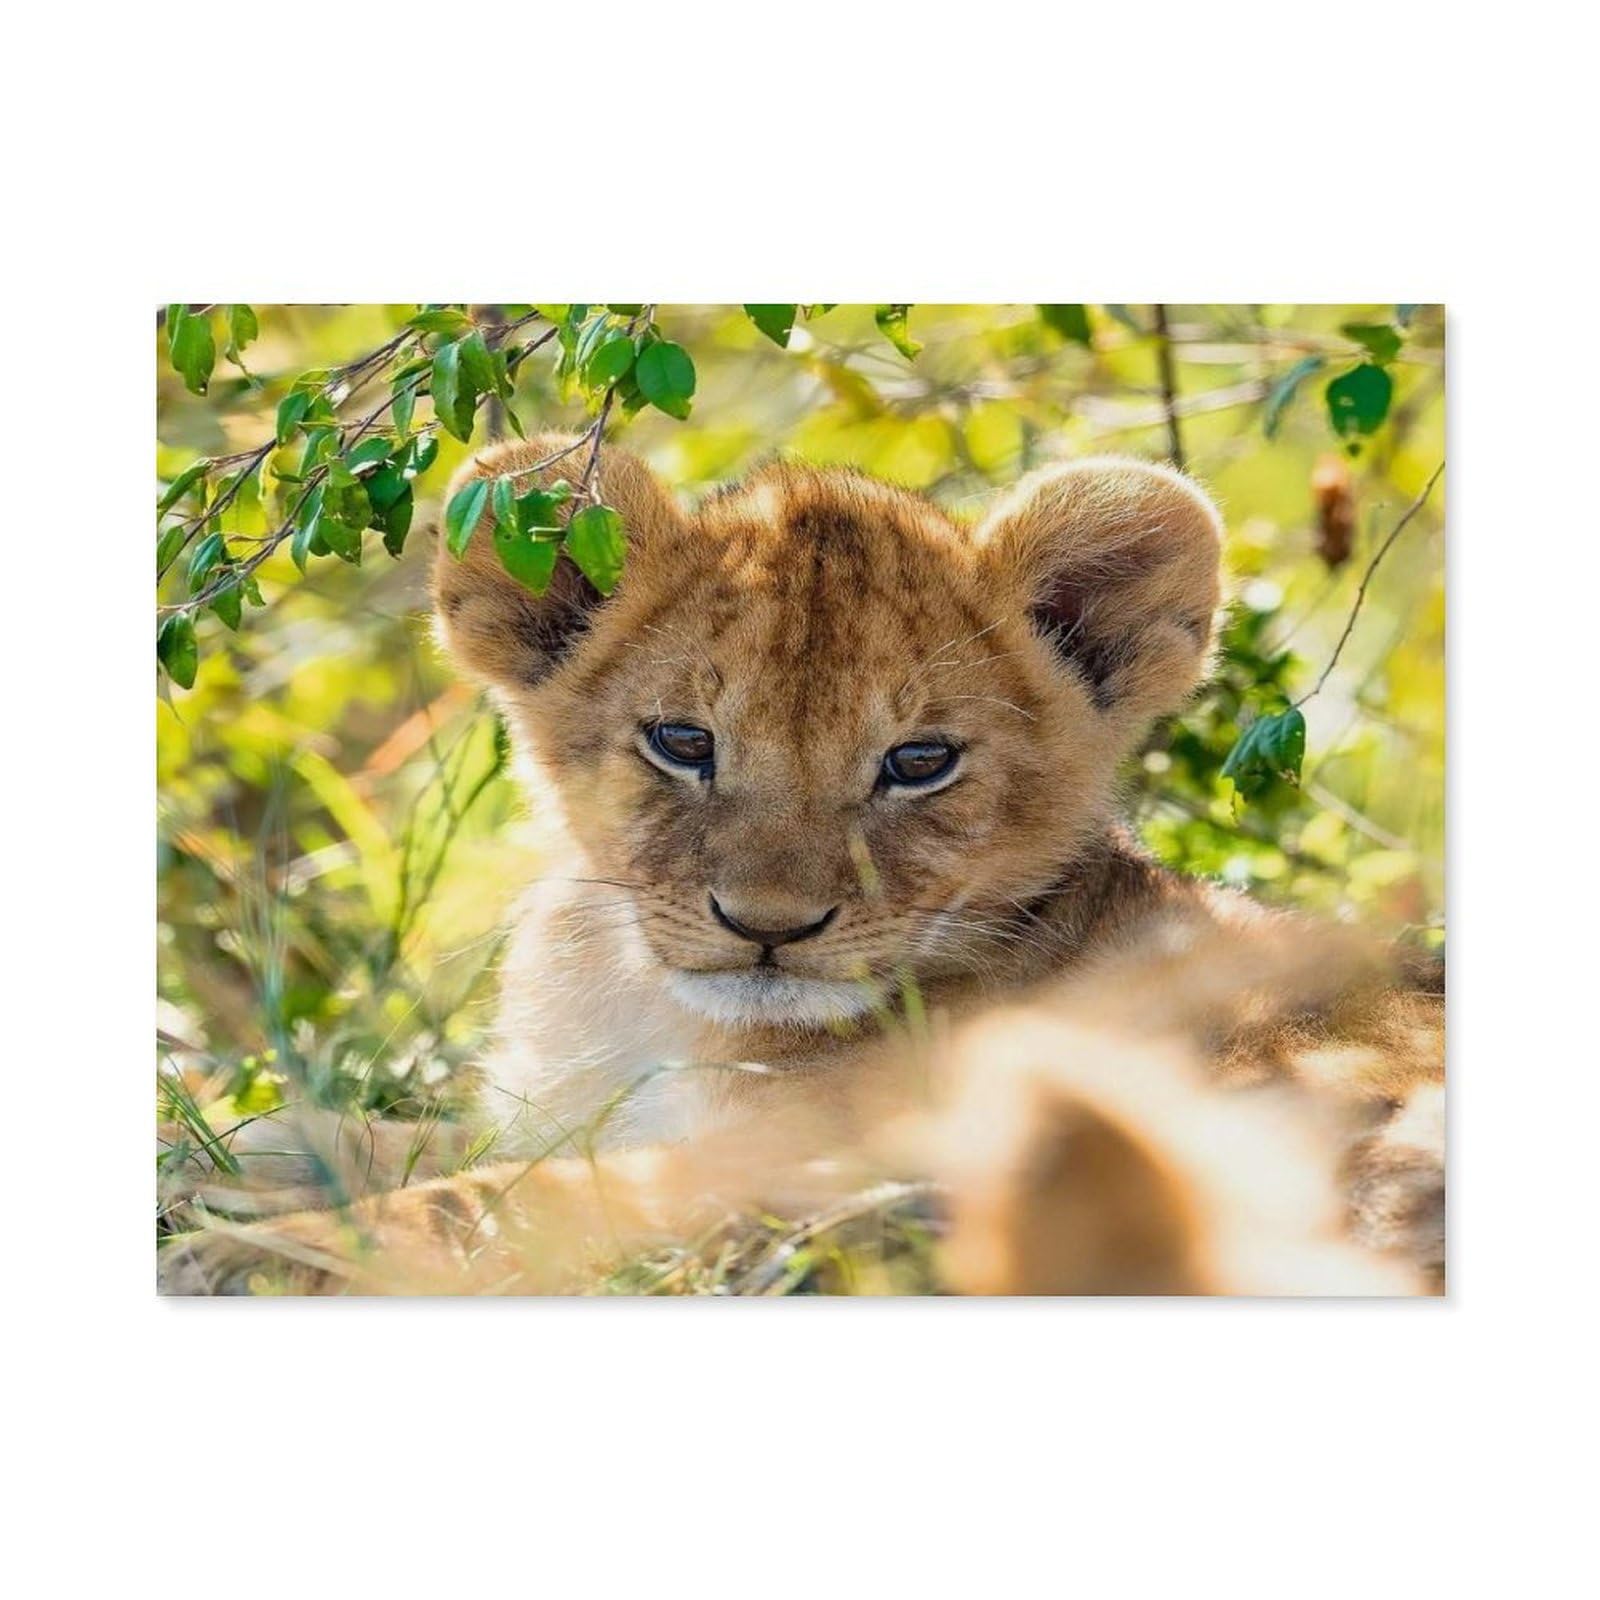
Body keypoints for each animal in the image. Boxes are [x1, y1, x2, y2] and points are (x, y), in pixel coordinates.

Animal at [159, 436, 1444, 1295]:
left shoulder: (785, 1155)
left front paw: (243, 1248)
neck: (635, 999)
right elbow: (390, 1136)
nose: (767, 926)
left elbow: (504, 1199)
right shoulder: (564, 1110)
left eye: (919, 761)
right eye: (682, 742)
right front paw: (220, 1150)